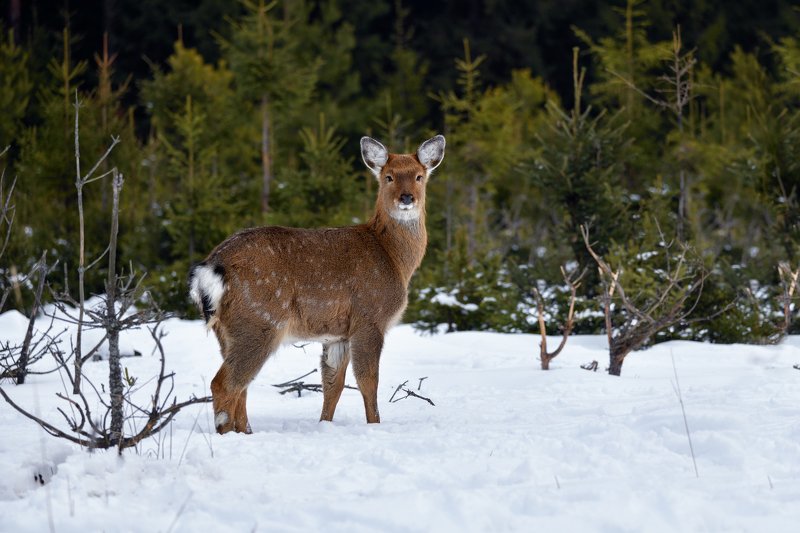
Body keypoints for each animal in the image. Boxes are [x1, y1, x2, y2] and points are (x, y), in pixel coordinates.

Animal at [189, 135, 445, 433]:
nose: (406, 198)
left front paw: (324, 424)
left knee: (241, 386)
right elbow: (368, 381)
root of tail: (210, 267)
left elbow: (333, 384)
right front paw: (374, 425)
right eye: (389, 176)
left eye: (419, 176)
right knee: (225, 383)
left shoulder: (337, 334)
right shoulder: (370, 317)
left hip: (226, 330)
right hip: (260, 320)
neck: (393, 257)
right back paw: (227, 433)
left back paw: (245, 432)